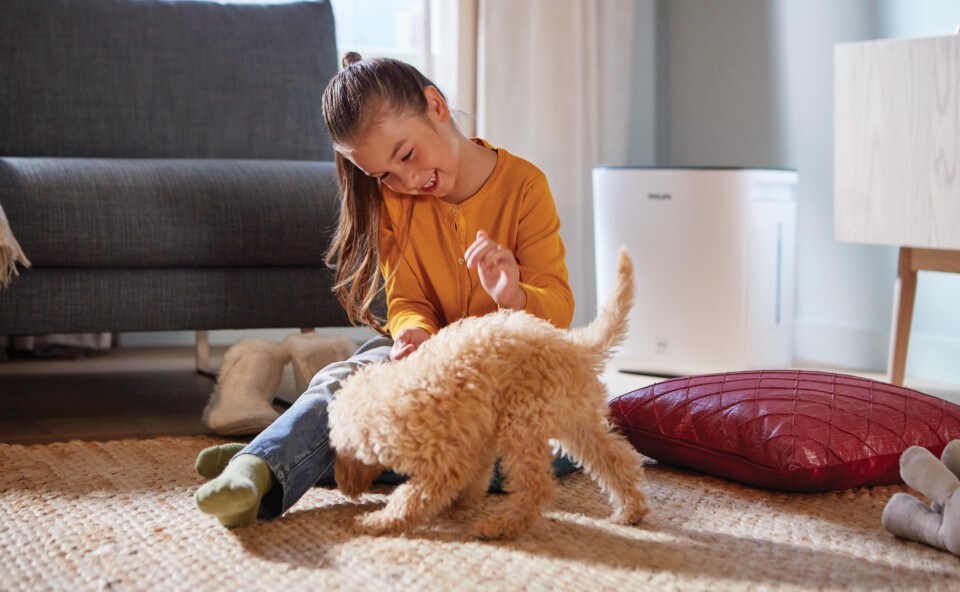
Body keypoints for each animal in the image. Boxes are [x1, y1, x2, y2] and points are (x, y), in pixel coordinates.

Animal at [326, 247, 648, 540]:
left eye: (343, 450)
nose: (344, 487)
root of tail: (573, 345)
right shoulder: (476, 443)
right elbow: (474, 478)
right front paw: (460, 503)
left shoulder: (447, 460)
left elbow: (411, 497)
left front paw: (378, 522)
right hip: (575, 421)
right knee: (617, 459)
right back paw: (630, 510)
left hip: (522, 421)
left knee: (536, 486)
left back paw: (499, 526)